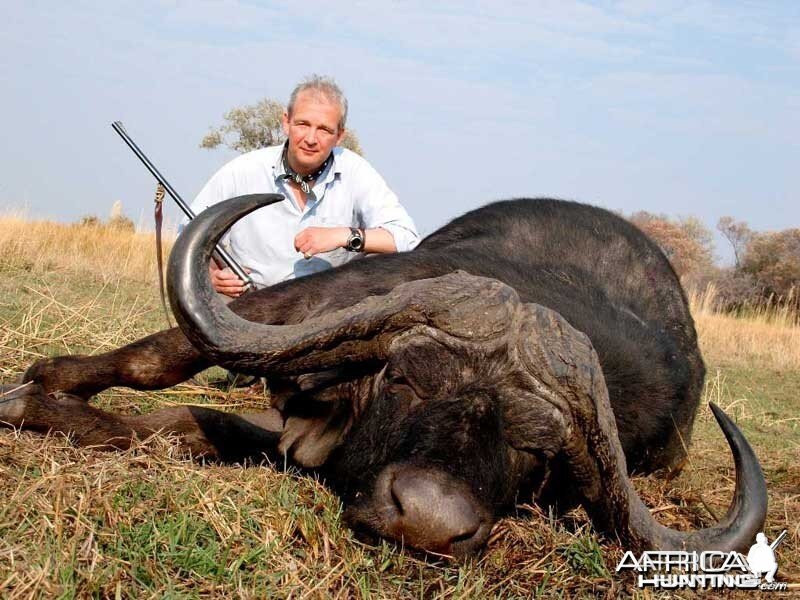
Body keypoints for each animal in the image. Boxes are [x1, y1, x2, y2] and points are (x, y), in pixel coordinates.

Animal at [0, 196, 764, 556]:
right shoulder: (304, 308)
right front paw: (31, 391)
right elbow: (157, 359)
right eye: (405, 382)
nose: (426, 521)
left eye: (535, 449)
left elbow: (188, 426)